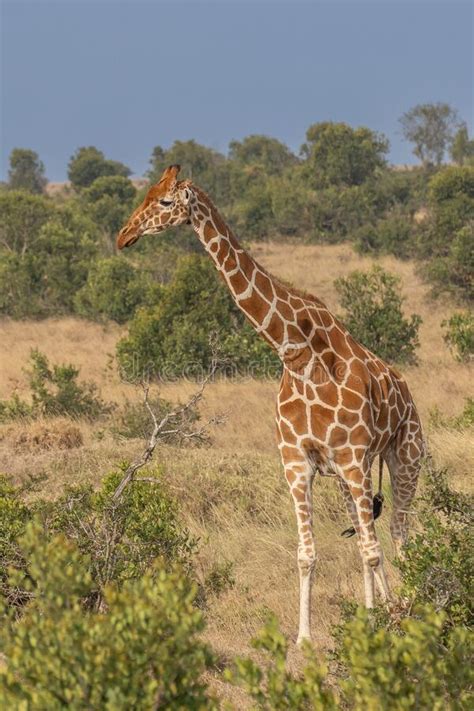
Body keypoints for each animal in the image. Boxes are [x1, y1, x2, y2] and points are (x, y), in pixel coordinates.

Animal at [116, 167, 424, 644]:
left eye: (165, 202)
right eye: (145, 194)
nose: (124, 235)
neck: (295, 354)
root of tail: (404, 388)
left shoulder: (352, 458)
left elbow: (373, 550)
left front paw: (380, 626)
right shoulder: (297, 461)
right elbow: (308, 553)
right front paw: (304, 638)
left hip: (404, 455)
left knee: (398, 533)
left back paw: (402, 609)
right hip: (346, 477)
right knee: (366, 535)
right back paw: (383, 608)